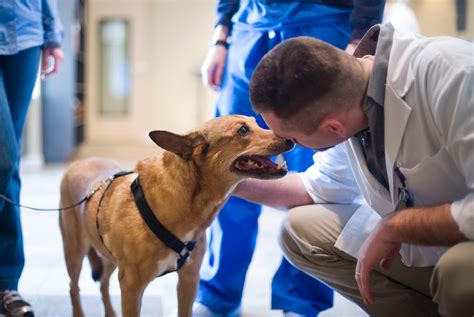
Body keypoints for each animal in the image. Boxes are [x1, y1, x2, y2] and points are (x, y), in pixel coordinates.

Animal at [59, 114, 292, 316]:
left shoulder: (189, 280)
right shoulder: (131, 287)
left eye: (256, 122)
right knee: (73, 287)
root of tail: (78, 163)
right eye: (243, 130)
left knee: (103, 284)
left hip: (107, 256)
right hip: (74, 251)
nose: (290, 138)